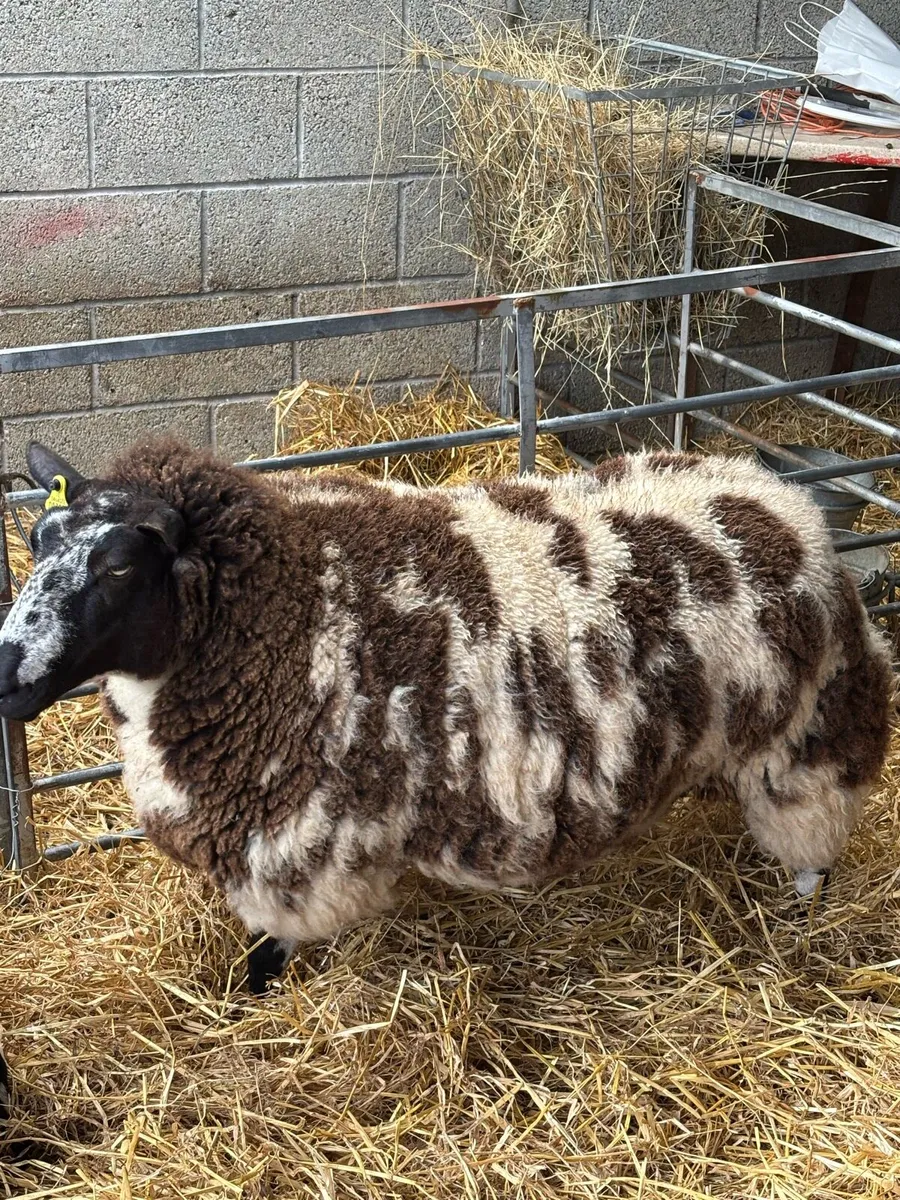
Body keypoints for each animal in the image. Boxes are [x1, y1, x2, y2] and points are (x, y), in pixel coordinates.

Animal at [0, 438, 891, 994]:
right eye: (38, 538)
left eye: (120, 565)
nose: (4, 672)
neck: (282, 605)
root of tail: (781, 496)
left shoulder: (291, 840)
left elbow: (266, 949)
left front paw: (256, 1005)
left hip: (805, 735)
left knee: (813, 846)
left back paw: (798, 923)